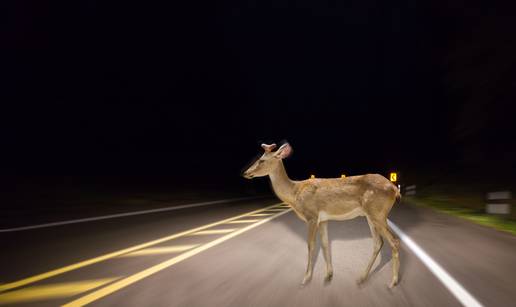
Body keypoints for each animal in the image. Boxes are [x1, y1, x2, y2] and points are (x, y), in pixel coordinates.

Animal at [243, 143, 404, 288]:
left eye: (261, 160)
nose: (246, 172)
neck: (295, 193)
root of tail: (395, 189)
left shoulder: (312, 216)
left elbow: (311, 245)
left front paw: (305, 278)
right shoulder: (323, 220)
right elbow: (325, 244)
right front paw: (328, 275)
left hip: (378, 213)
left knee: (394, 241)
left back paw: (392, 282)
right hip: (370, 216)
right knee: (378, 242)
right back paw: (362, 278)